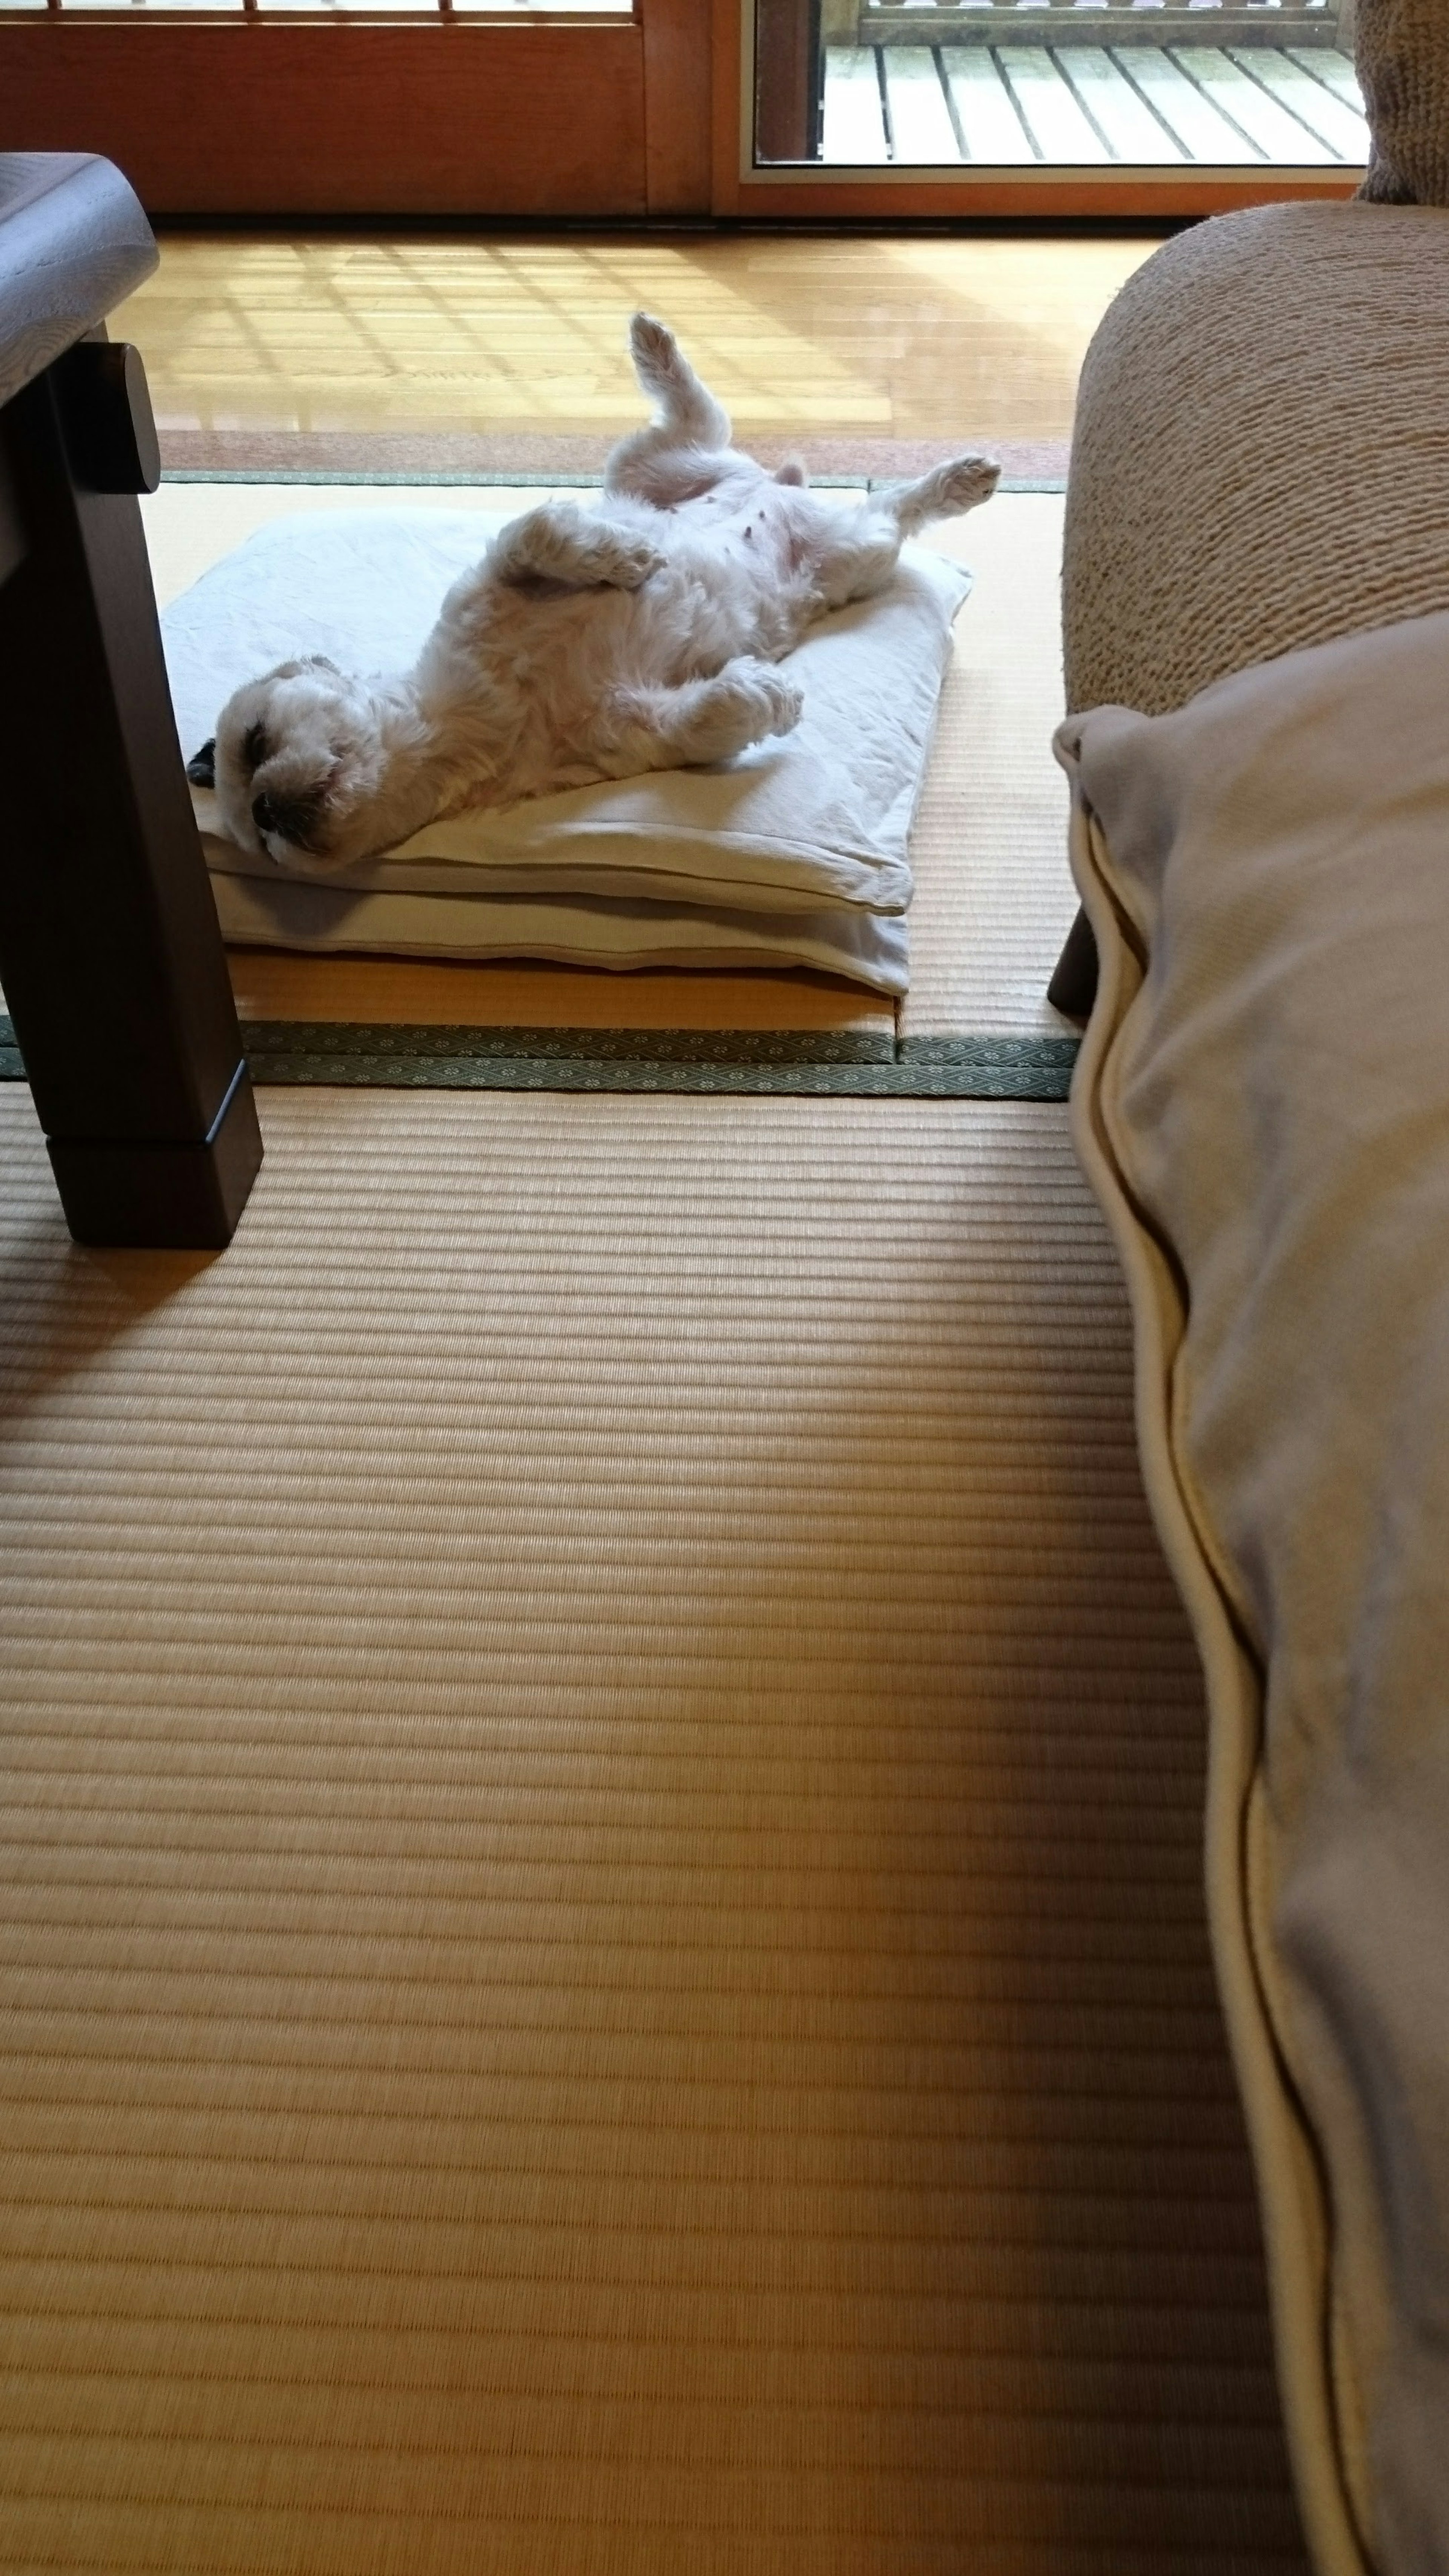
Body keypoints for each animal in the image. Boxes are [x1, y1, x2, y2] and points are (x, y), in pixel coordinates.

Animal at [194, 308, 990, 876]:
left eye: (256, 740)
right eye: (260, 837)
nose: (267, 808)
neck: (466, 715)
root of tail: (775, 487)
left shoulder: (489, 583)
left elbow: (538, 530)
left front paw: (629, 557)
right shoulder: (619, 730)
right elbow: (706, 719)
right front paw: (767, 692)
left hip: (656, 469)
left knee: (705, 422)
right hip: (851, 554)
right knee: (889, 507)